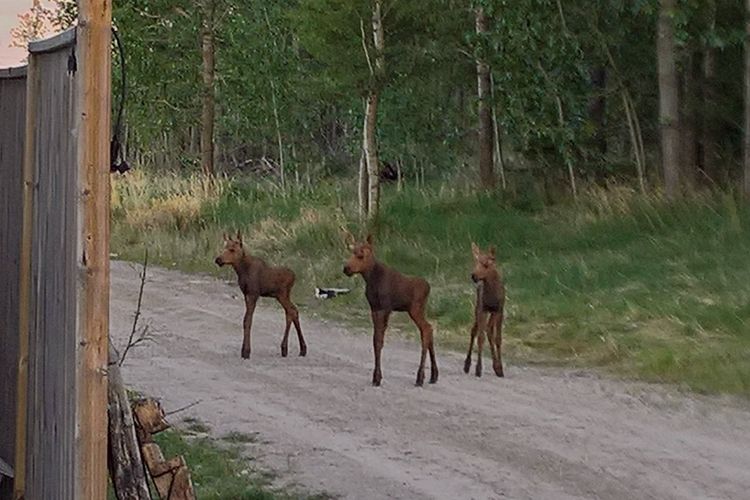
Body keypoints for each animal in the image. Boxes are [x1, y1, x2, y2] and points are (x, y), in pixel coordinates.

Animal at [213, 230, 306, 360]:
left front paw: (246, 351)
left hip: (282, 294)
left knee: (292, 311)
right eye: (224, 247)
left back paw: (299, 349)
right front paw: (244, 350)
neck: (241, 270)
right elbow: (245, 320)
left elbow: (248, 320)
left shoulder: (253, 294)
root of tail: (294, 277)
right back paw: (289, 348)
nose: (218, 259)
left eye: (232, 249)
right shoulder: (246, 294)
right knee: (292, 311)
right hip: (283, 296)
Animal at [344, 234, 438, 386]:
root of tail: (428, 287)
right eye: (351, 252)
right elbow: (375, 340)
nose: (346, 268)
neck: (371, 279)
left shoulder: (386, 308)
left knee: (426, 330)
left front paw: (377, 377)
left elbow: (379, 340)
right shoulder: (374, 308)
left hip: (415, 309)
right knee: (429, 328)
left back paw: (420, 377)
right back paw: (434, 375)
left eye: (361, 255)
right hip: (419, 310)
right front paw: (376, 376)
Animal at [468, 241, 508, 376]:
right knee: (475, 330)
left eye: (486, 264)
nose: (474, 276)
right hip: (477, 307)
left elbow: (498, 338)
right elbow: (480, 337)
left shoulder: (499, 309)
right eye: (475, 262)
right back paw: (467, 364)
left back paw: (496, 366)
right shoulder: (483, 308)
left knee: (489, 330)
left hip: (492, 312)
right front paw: (478, 368)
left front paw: (500, 368)